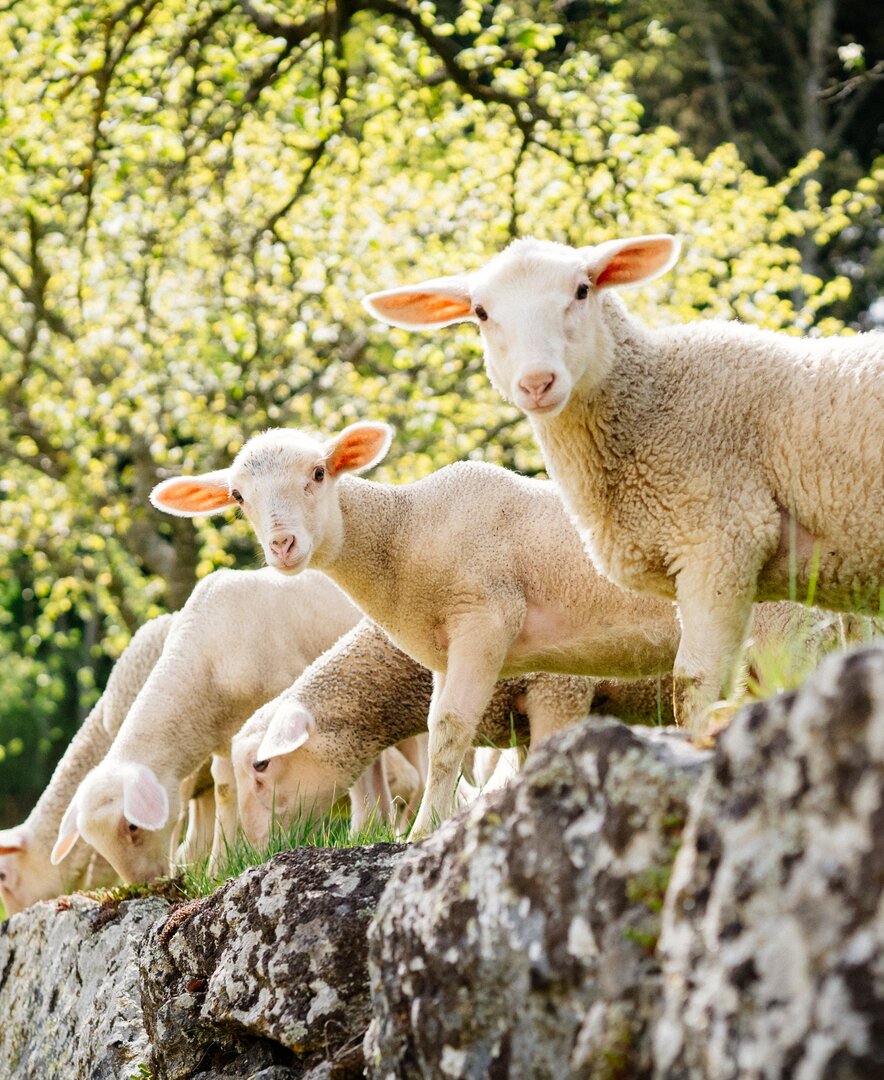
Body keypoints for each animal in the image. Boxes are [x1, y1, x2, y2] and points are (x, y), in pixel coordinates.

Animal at [152, 416, 803, 829]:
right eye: (238, 497)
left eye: (318, 473)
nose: (282, 546)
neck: (404, 535)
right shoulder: (444, 652)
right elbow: (444, 735)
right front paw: (436, 823)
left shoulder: (487, 621)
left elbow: (449, 737)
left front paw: (420, 832)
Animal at [360, 235, 884, 725]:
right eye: (482, 312)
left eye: (582, 290)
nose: (537, 383)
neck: (654, 406)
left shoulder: (720, 541)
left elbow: (695, 686)